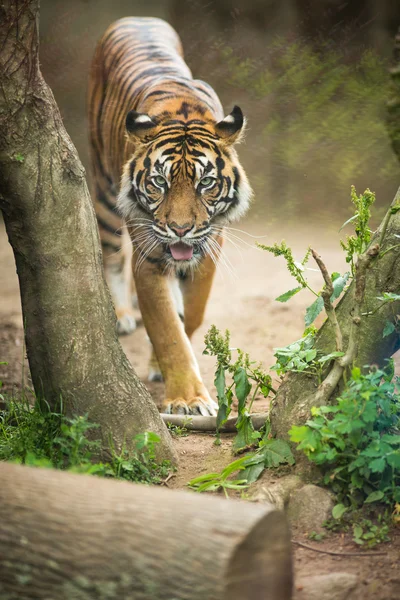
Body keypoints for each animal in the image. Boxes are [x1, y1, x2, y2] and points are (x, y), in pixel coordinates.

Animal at [88, 15, 252, 418]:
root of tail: (137, 17)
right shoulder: (149, 256)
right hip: (104, 193)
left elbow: (188, 317)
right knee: (112, 256)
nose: (180, 229)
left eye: (206, 182)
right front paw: (189, 401)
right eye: (159, 182)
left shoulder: (208, 249)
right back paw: (121, 315)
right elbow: (167, 330)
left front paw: (159, 367)